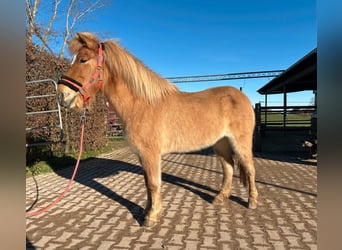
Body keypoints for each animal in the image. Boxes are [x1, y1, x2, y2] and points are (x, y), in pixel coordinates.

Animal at [57, 32, 258, 228]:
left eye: (83, 60)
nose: (62, 95)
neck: (141, 105)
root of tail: (242, 97)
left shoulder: (151, 154)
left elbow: (154, 184)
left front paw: (151, 217)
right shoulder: (142, 155)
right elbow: (147, 184)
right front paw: (148, 211)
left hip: (240, 143)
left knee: (249, 168)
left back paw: (252, 202)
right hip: (221, 143)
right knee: (229, 168)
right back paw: (220, 197)